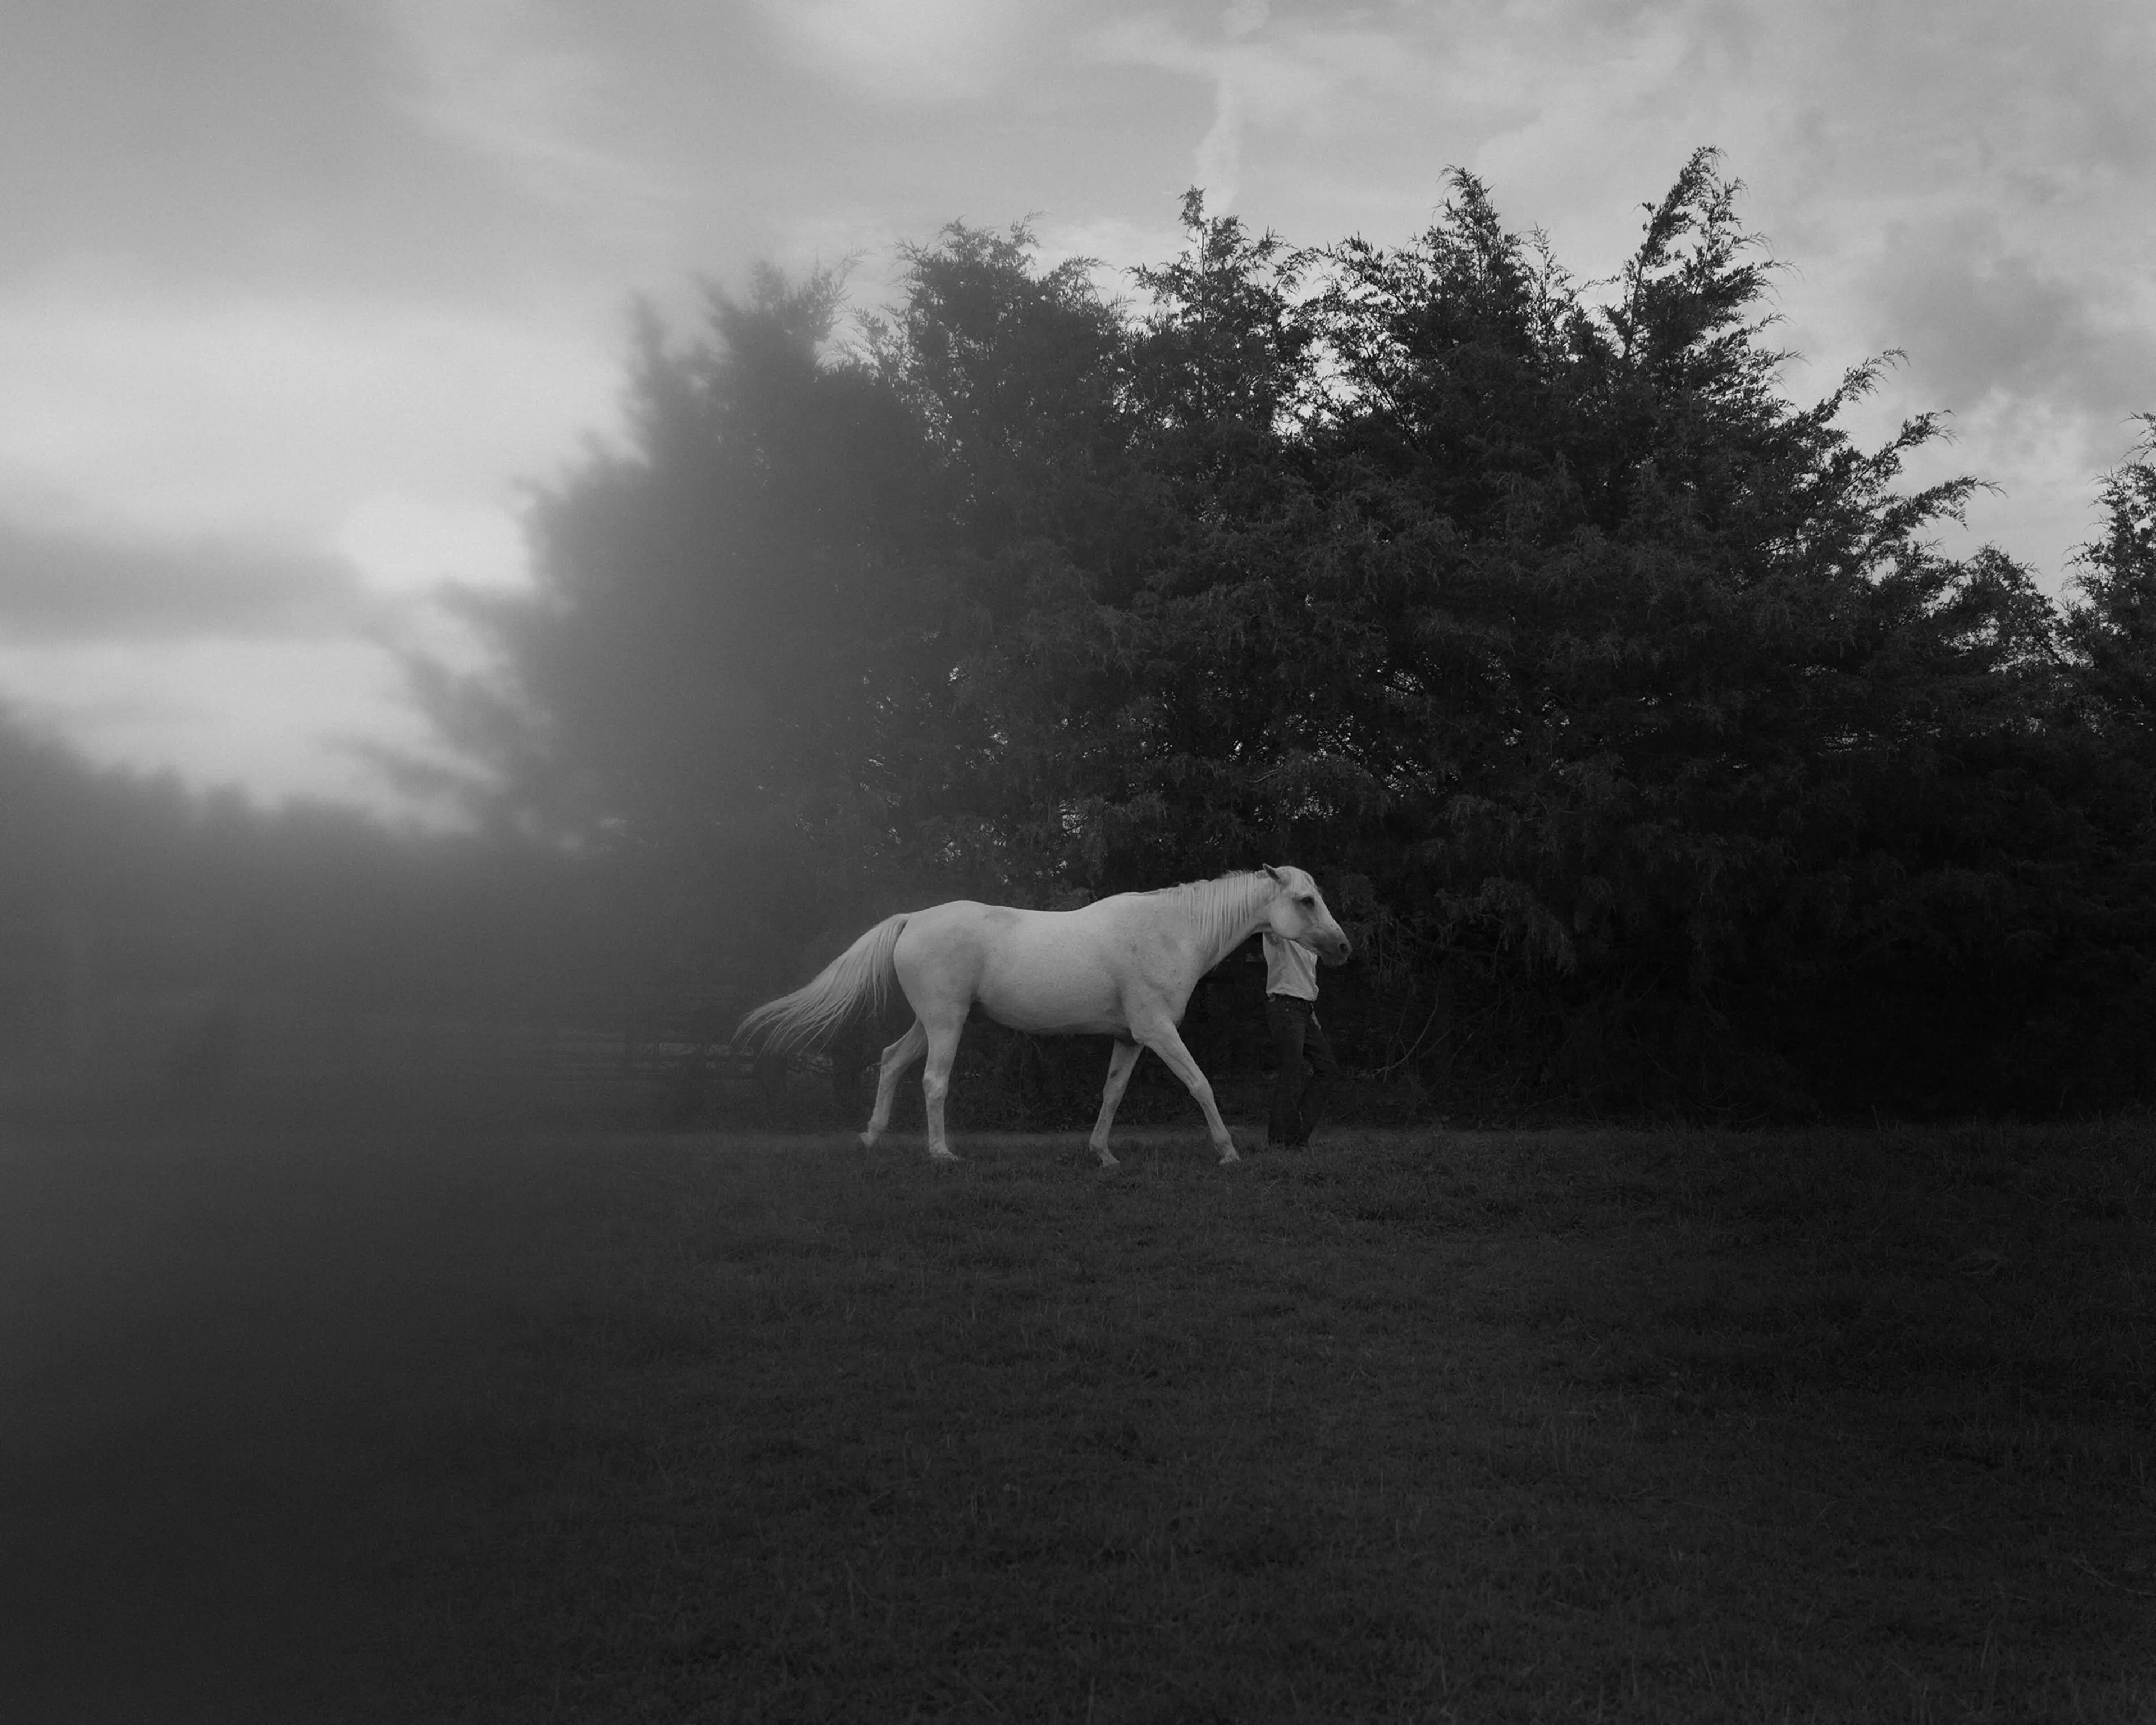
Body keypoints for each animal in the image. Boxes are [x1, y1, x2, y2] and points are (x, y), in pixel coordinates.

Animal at [732, 866, 1351, 1166]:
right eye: (1305, 901)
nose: (1344, 948)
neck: (1173, 932)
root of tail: (912, 920)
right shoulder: (1157, 1031)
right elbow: (1201, 1085)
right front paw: (1228, 1154)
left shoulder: (1132, 1038)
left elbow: (1112, 1095)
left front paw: (1103, 1155)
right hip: (946, 1022)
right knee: (933, 1081)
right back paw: (941, 1154)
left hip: (931, 1022)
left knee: (890, 1062)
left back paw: (872, 1137)